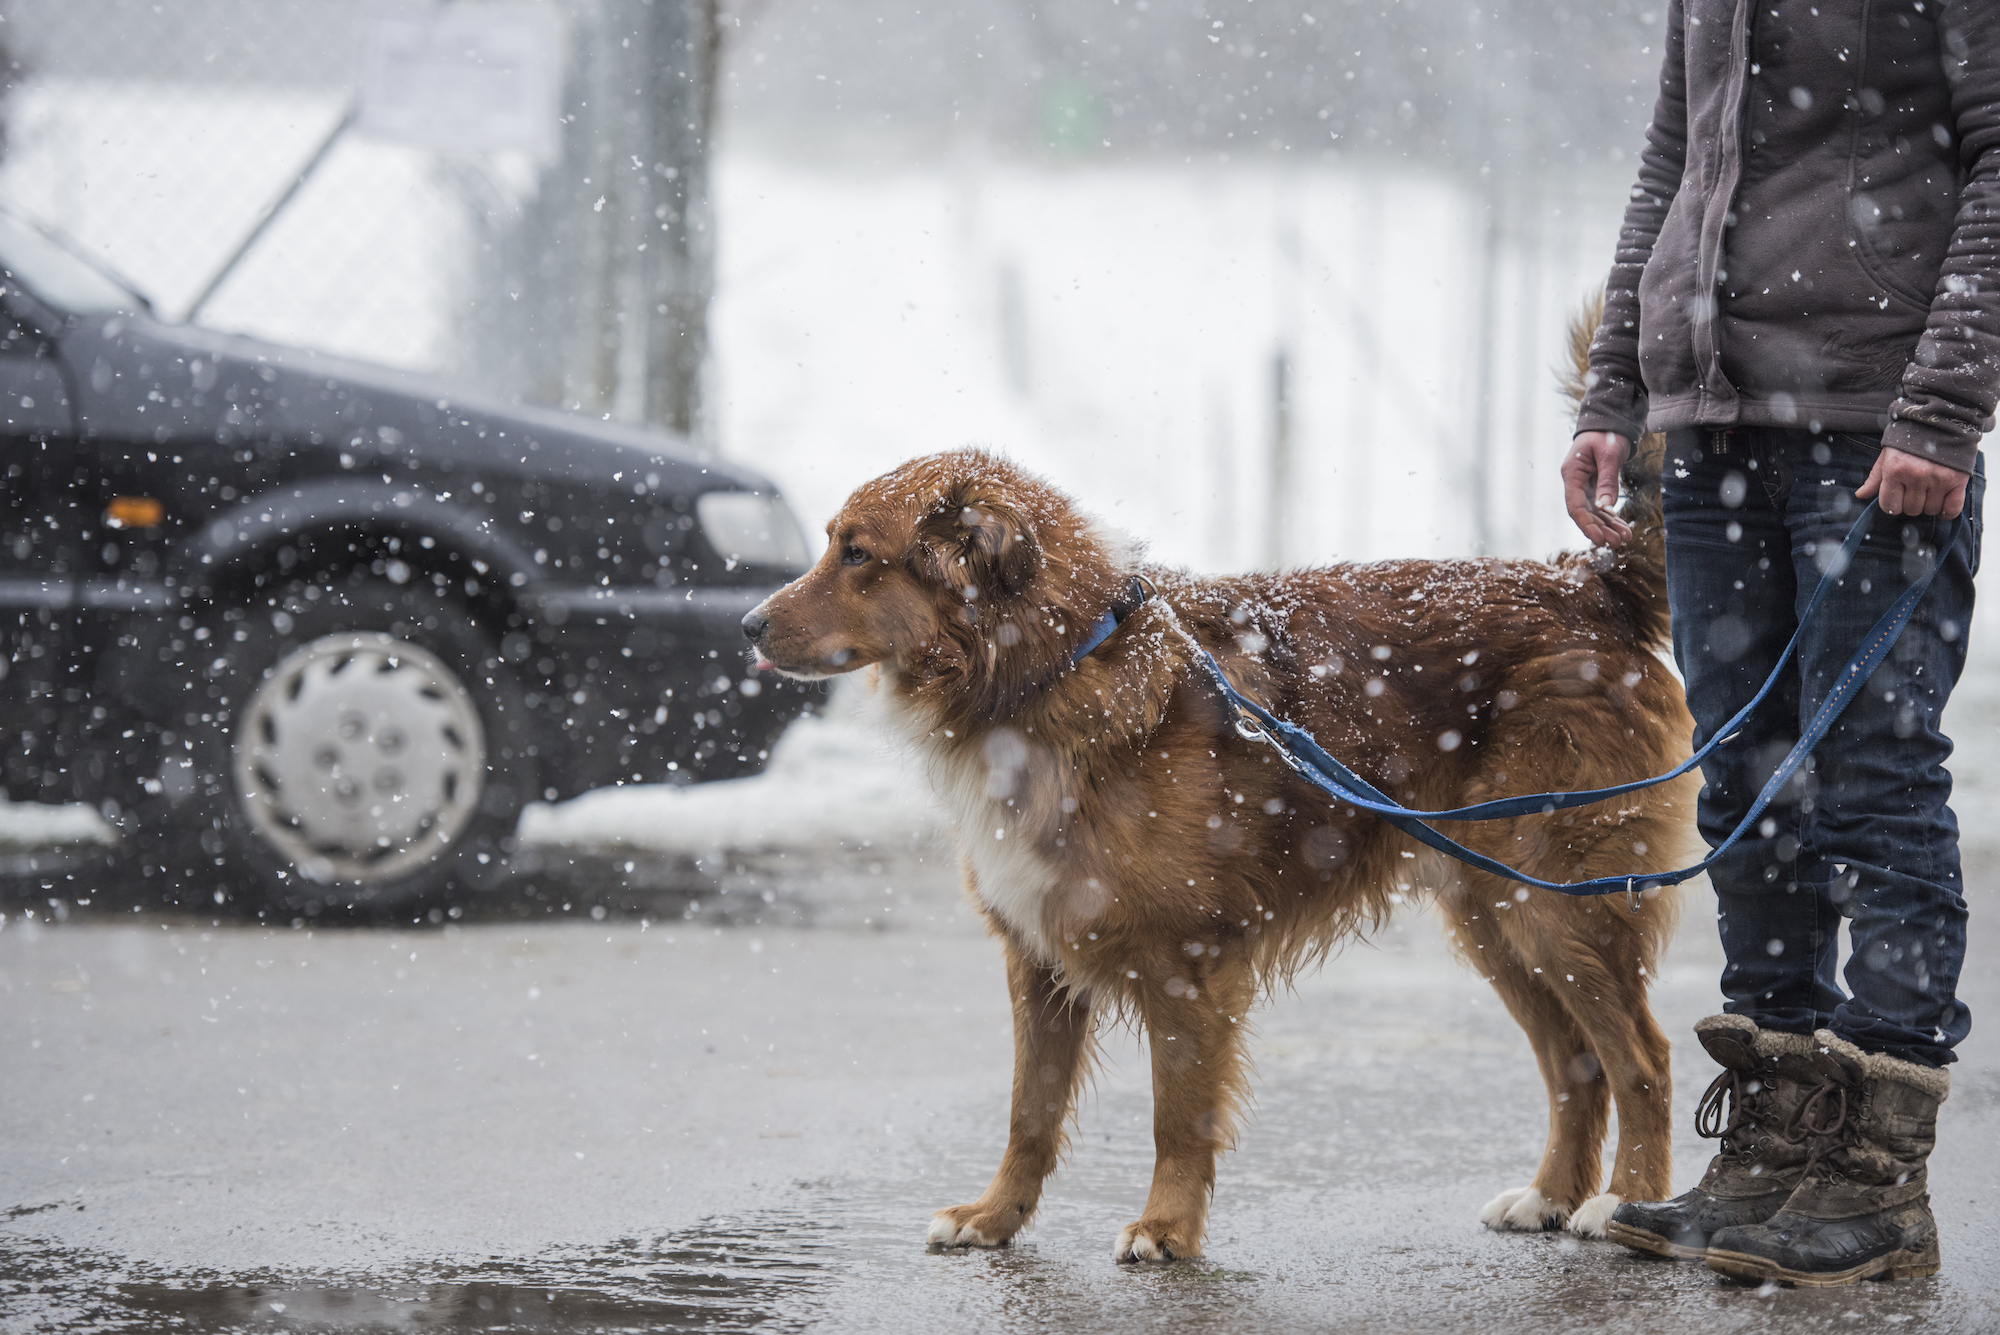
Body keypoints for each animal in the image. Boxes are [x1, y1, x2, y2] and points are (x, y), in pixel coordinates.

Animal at [744, 439, 1696, 1263]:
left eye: (857, 553)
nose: (749, 623)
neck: (1050, 666)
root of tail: (1585, 583)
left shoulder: (1186, 964)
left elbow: (1176, 1116)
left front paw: (1166, 1229)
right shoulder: (1036, 955)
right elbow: (1029, 1112)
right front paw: (994, 1216)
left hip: (1558, 904)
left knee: (1642, 1058)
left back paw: (1623, 1202)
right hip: (1494, 914)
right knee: (1576, 1064)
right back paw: (1550, 1197)